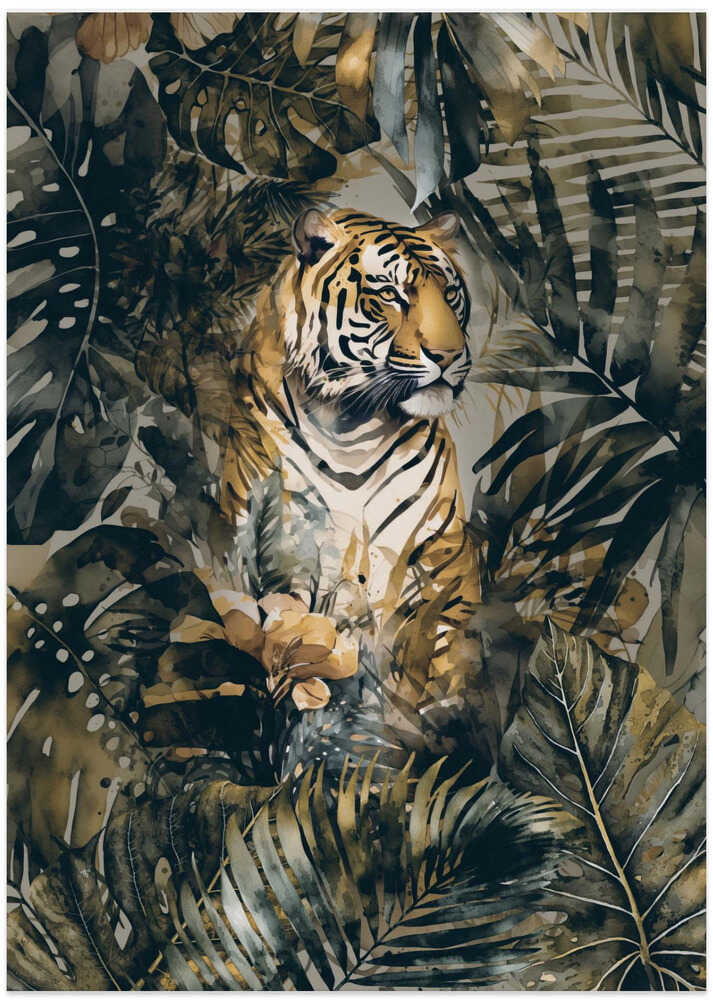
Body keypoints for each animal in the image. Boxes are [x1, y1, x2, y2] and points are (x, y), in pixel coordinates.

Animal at [218, 207, 482, 686]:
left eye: (450, 294)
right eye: (391, 294)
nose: (450, 355)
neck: (352, 427)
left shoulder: (443, 557)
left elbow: (448, 655)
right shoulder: (274, 542)